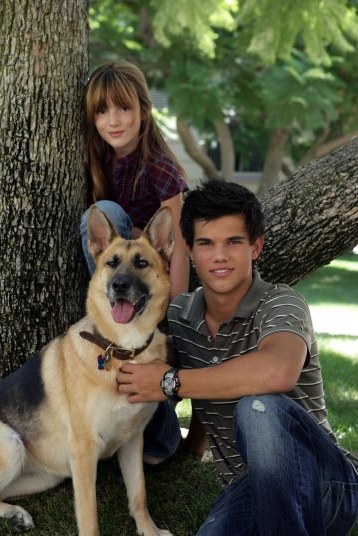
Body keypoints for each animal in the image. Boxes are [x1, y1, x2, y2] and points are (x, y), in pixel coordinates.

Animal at [0, 206, 175, 536]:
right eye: (111, 263)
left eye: (141, 263)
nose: (119, 286)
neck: (122, 349)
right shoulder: (83, 452)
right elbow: (89, 518)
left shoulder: (133, 441)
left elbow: (139, 495)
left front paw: (150, 530)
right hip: (12, 445)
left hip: (45, 476)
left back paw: (16, 514)